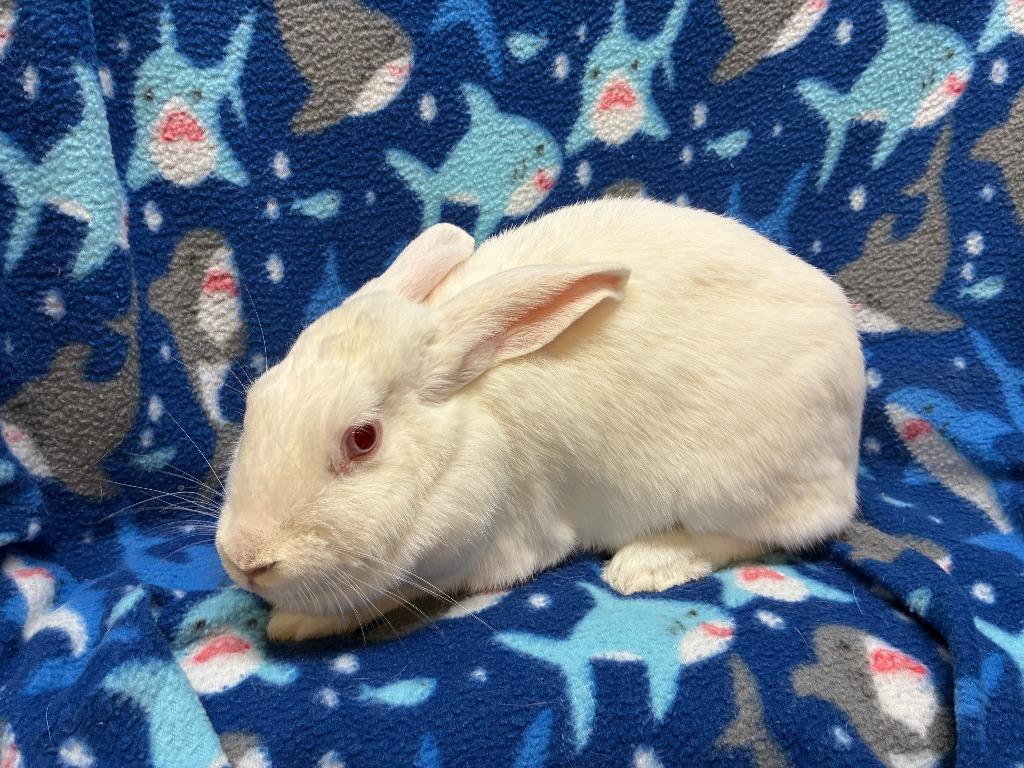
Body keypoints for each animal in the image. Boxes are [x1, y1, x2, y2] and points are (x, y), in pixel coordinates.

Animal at [215, 198, 865, 641]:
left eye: (363, 438)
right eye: (257, 398)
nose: (245, 561)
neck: (470, 428)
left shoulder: (493, 548)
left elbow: (392, 593)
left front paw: (294, 623)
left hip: (740, 484)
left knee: (770, 531)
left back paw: (644, 565)